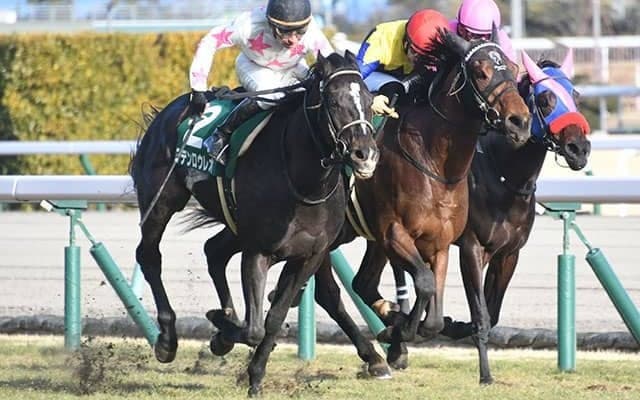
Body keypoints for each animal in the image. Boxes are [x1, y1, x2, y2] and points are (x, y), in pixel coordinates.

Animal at [130, 51, 380, 396]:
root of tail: (169, 110)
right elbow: (254, 328)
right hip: (162, 200)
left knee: (214, 251)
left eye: (368, 100)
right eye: (333, 100)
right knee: (150, 255)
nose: (364, 155)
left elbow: (272, 318)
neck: (305, 184)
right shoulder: (258, 251)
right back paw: (167, 339)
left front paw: (252, 369)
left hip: (235, 224)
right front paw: (224, 333)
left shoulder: (309, 255)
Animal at [436, 49, 591, 384]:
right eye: (544, 99)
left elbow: (491, 314)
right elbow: (481, 315)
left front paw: (453, 324)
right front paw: (485, 375)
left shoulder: (508, 253)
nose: (579, 149)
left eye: (576, 95)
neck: (503, 176)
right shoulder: (472, 248)